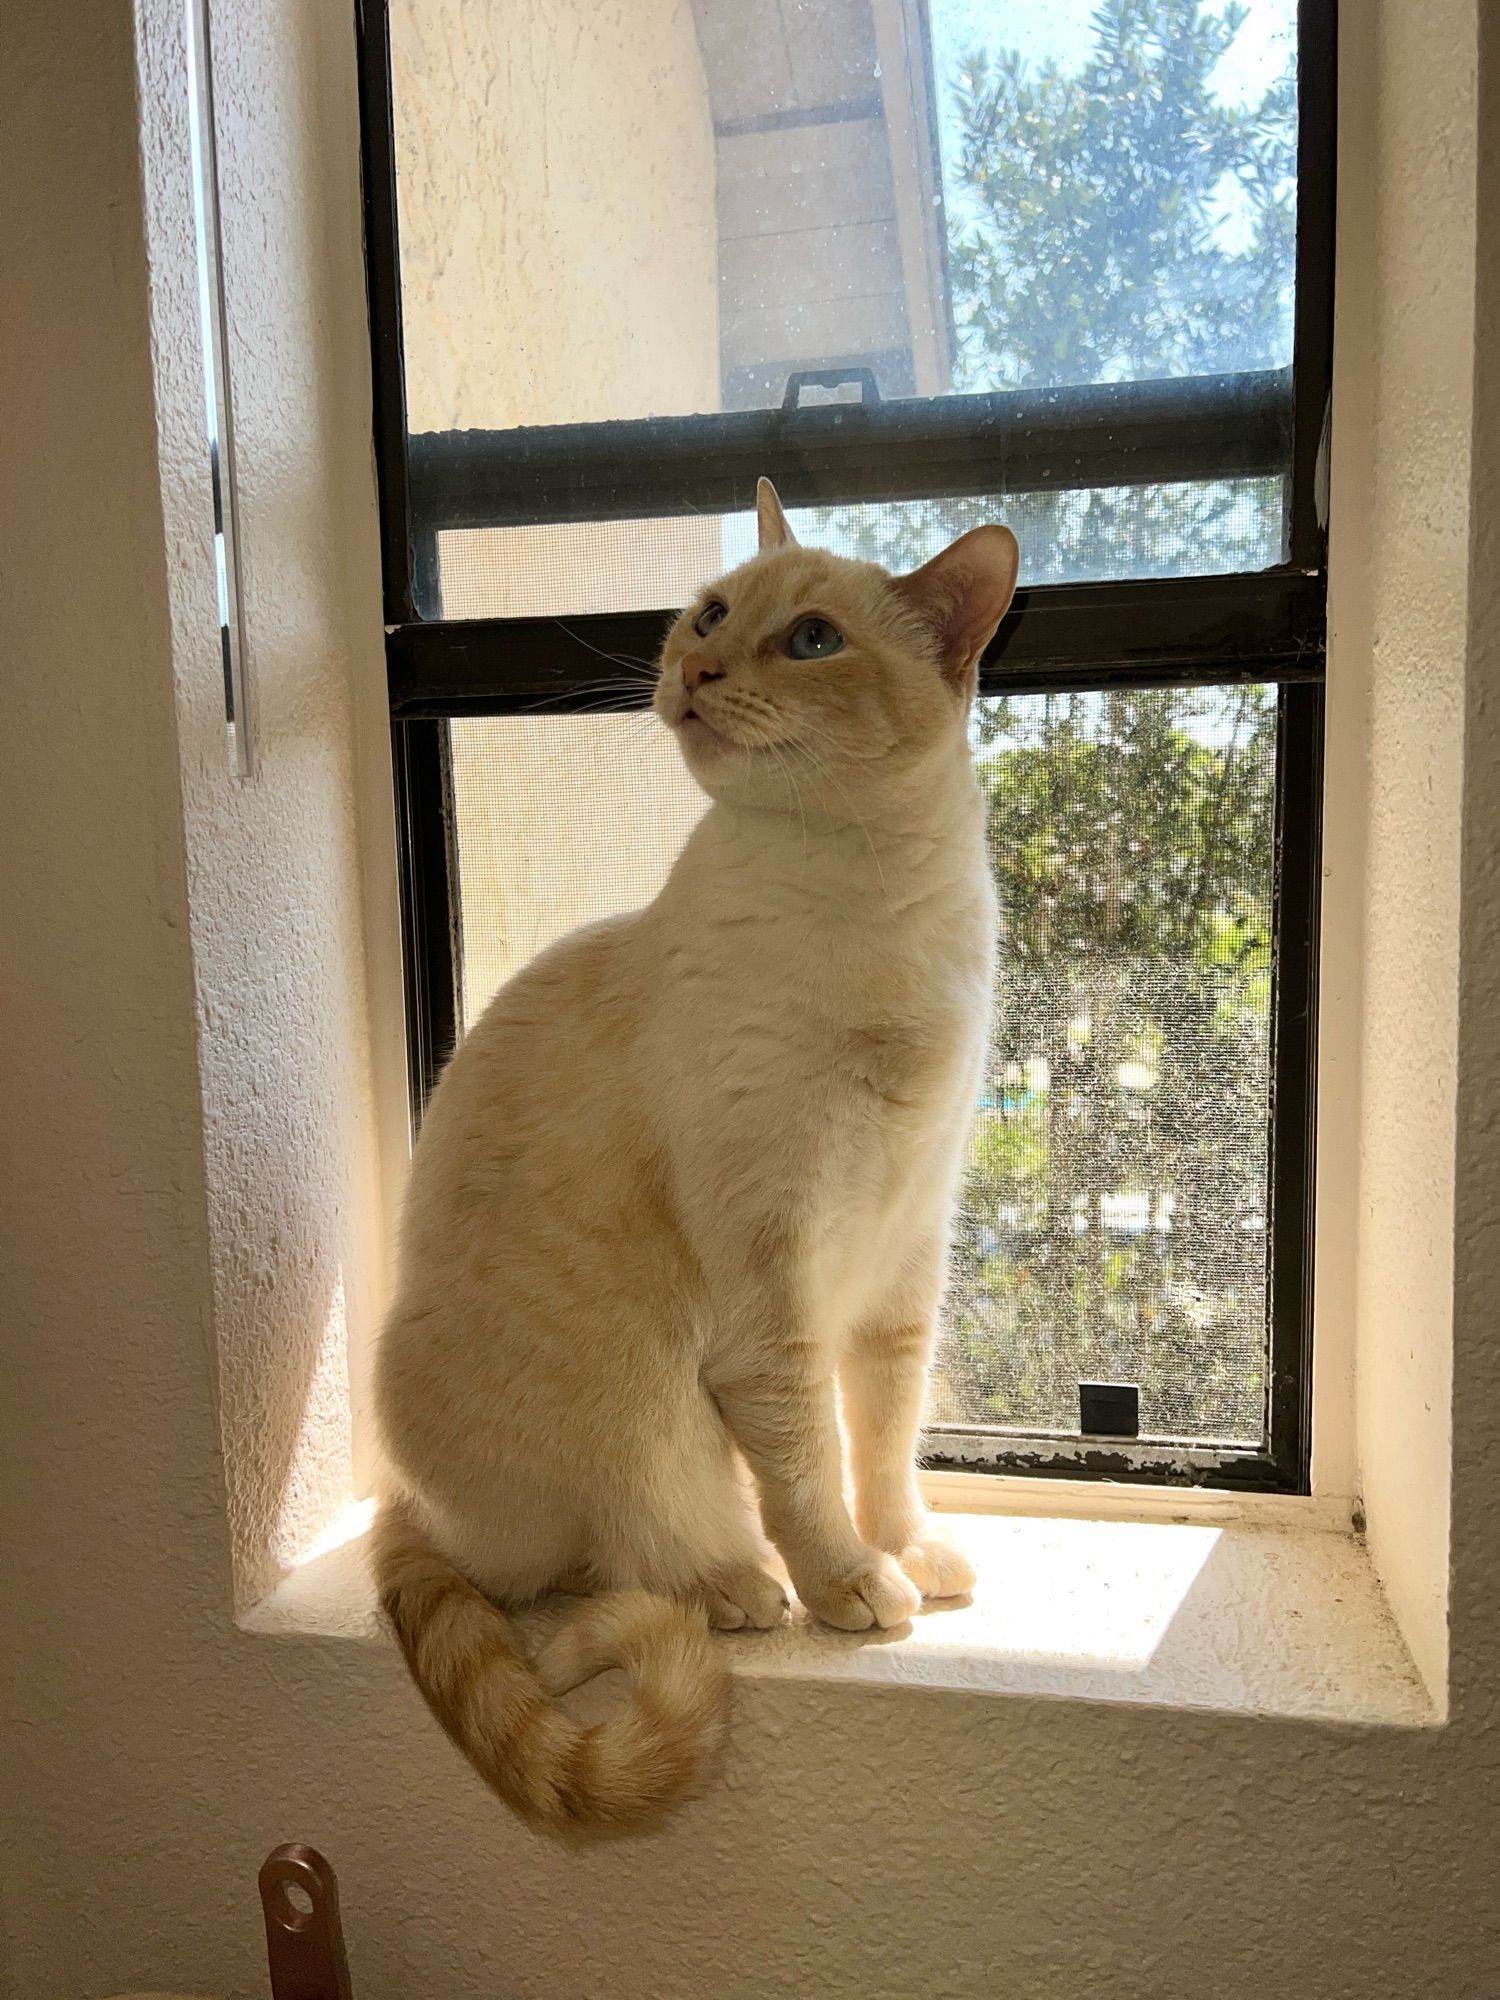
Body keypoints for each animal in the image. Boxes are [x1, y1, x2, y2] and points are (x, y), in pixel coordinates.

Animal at [374, 480, 1024, 1832]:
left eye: (814, 639)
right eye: (716, 613)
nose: (697, 668)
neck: (865, 902)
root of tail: (411, 1501)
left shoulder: (903, 1256)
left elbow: (885, 1439)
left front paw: (906, 1549)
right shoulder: (771, 1280)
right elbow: (808, 1460)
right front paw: (853, 1582)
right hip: (636, 1416)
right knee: (603, 1559)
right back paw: (743, 1581)